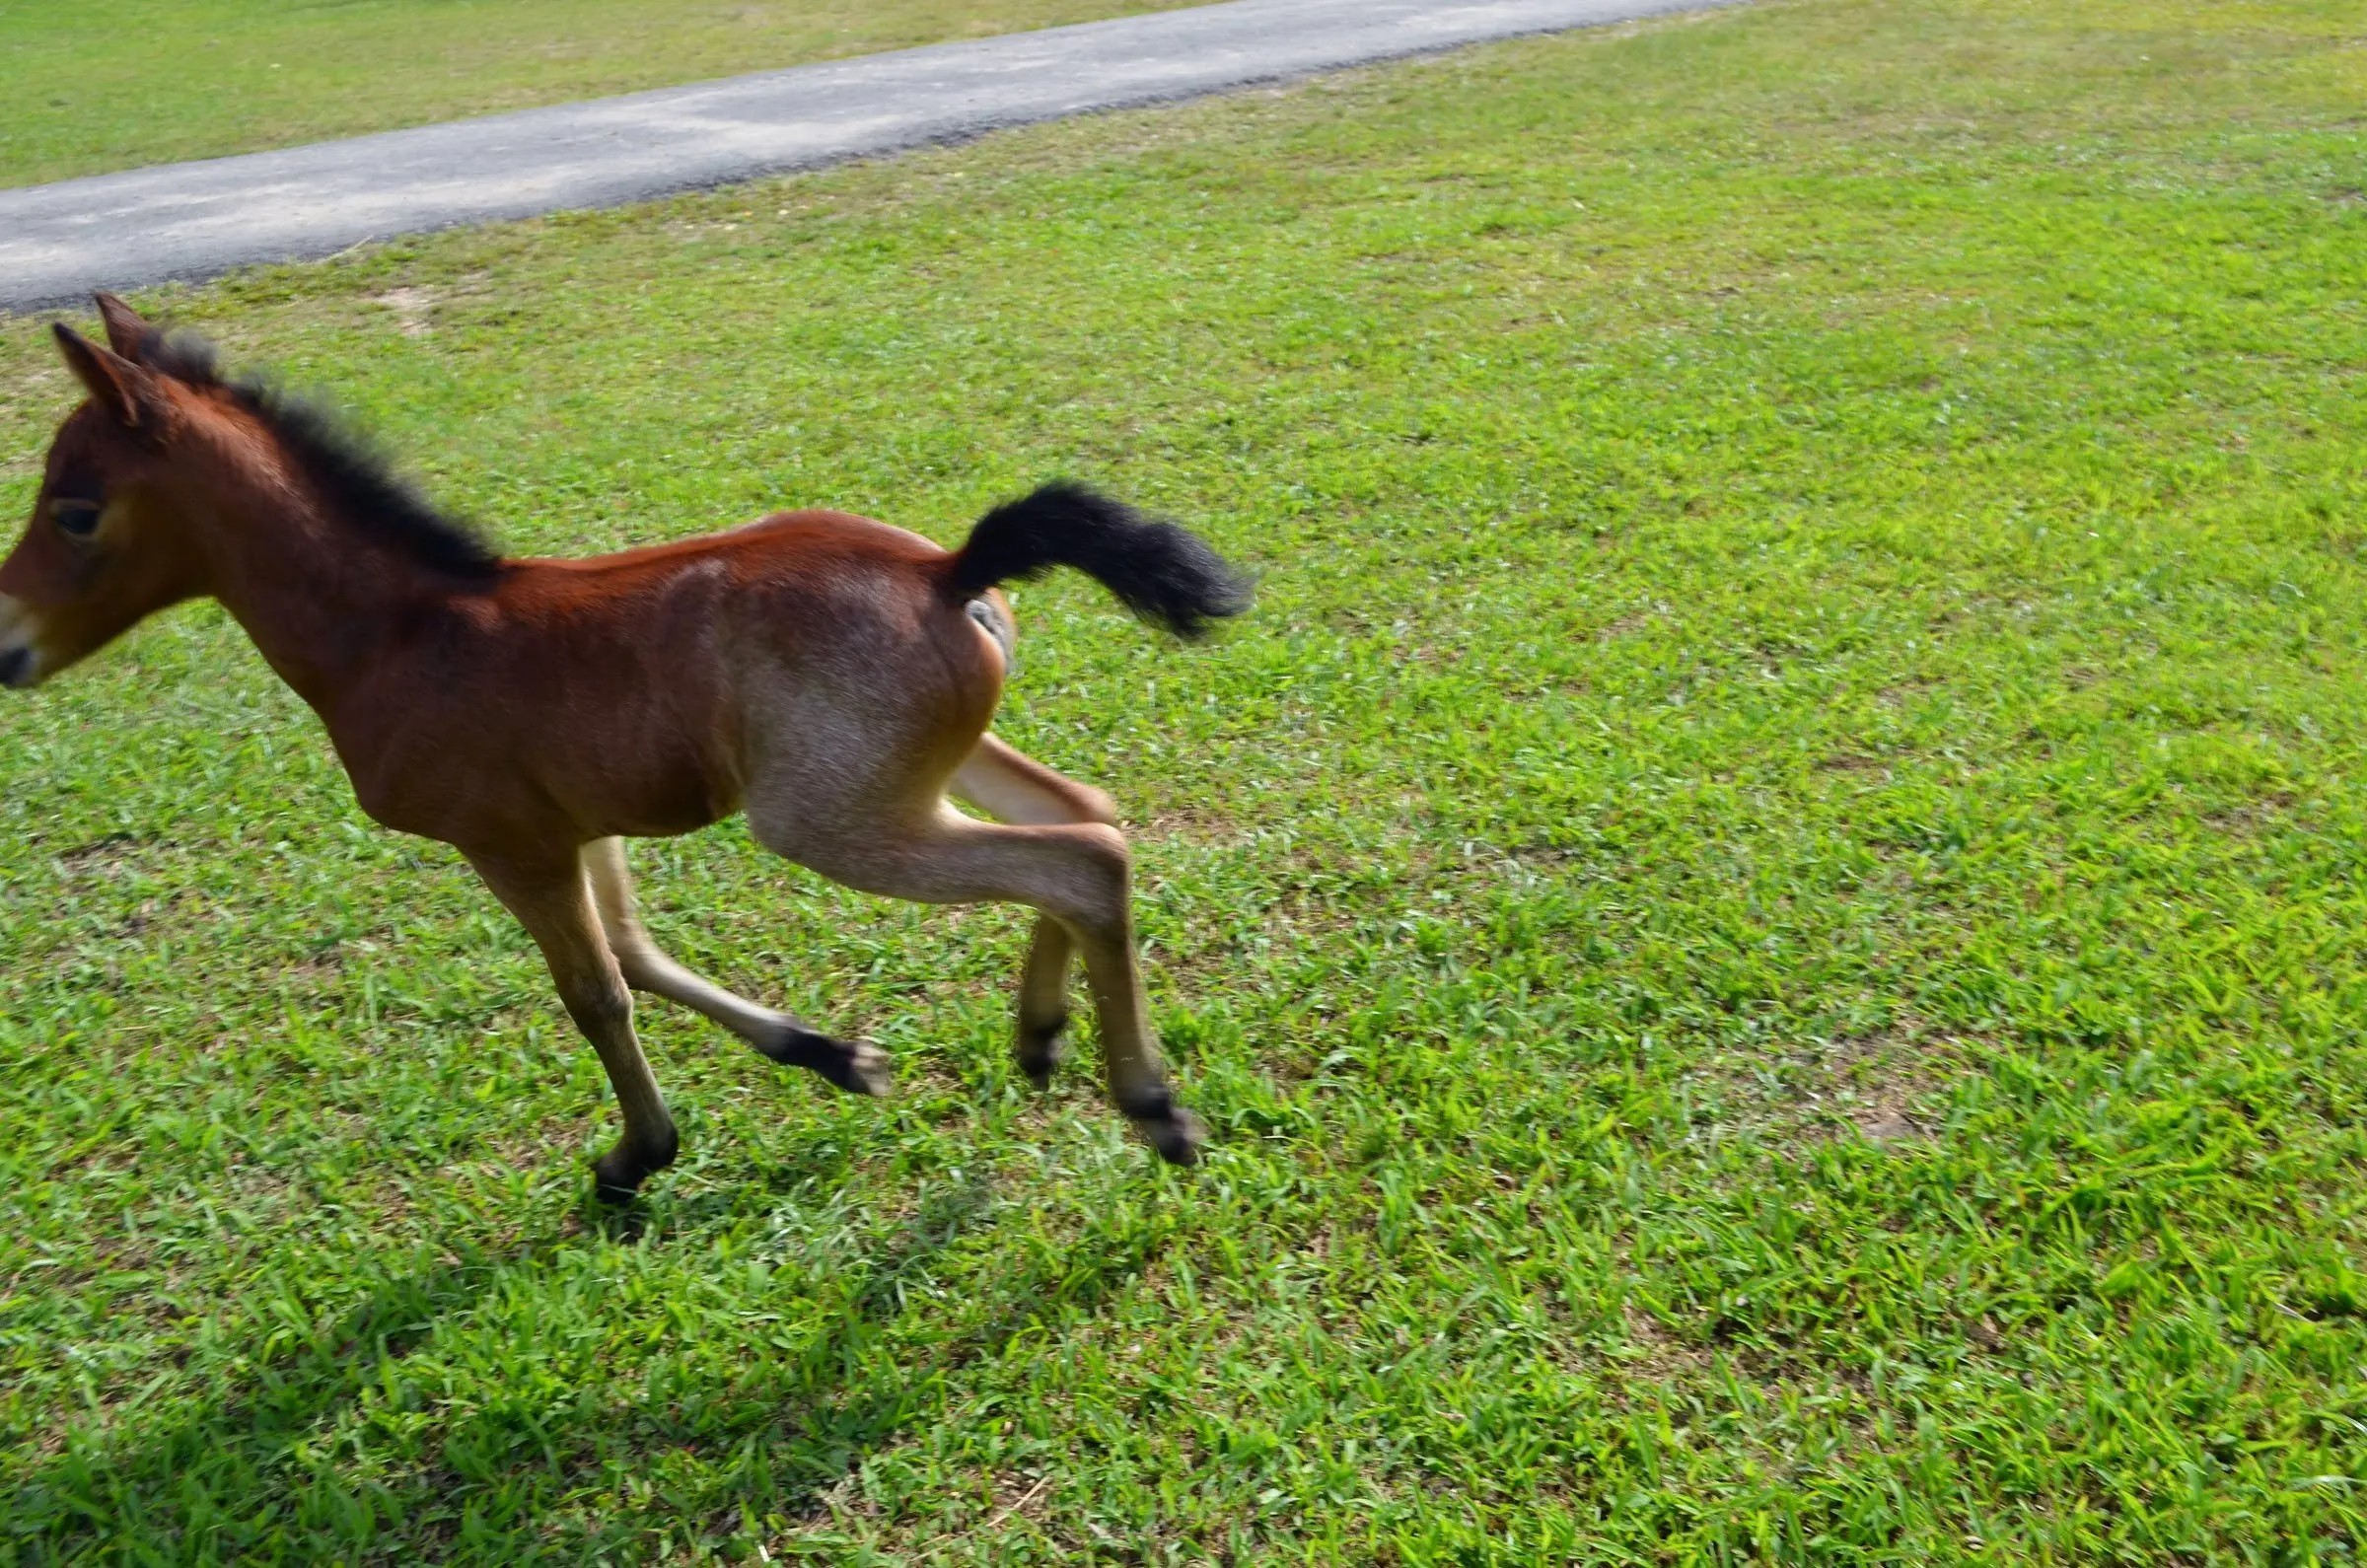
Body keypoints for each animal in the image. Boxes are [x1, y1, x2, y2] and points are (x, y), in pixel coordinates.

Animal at [1, 294, 1250, 1200]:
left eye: (75, 511)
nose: (7, 644)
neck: (399, 635)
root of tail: (948, 568)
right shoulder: (583, 823)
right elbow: (642, 958)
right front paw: (831, 1057)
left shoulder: (509, 842)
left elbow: (593, 990)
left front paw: (635, 1156)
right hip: (934, 769)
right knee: (1087, 812)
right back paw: (1039, 1035)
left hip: (833, 817)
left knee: (1080, 862)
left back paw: (1150, 1105)